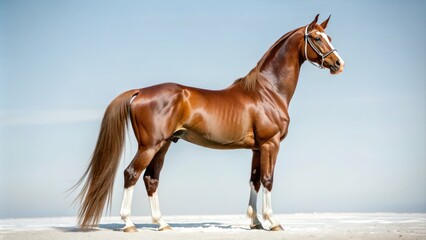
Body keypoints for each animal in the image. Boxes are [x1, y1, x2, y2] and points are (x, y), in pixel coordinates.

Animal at [74, 15, 342, 232]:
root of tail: (140, 91)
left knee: (150, 179)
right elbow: (268, 180)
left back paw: (162, 224)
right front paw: (273, 222)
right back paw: (129, 224)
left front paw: (255, 222)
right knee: (131, 174)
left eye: (328, 37)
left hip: (163, 145)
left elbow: (254, 180)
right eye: (316, 38)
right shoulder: (270, 144)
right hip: (150, 146)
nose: (339, 64)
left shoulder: (257, 148)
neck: (267, 91)